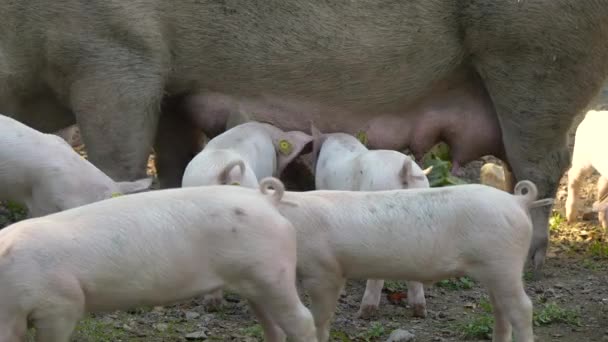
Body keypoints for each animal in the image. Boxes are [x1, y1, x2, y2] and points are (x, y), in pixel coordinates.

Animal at [1, 0, 608, 274]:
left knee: (541, 163)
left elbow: (118, 152)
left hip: (535, 56)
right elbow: (172, 154)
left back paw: (531, 259)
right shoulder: (173, 86)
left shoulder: (113, 53)